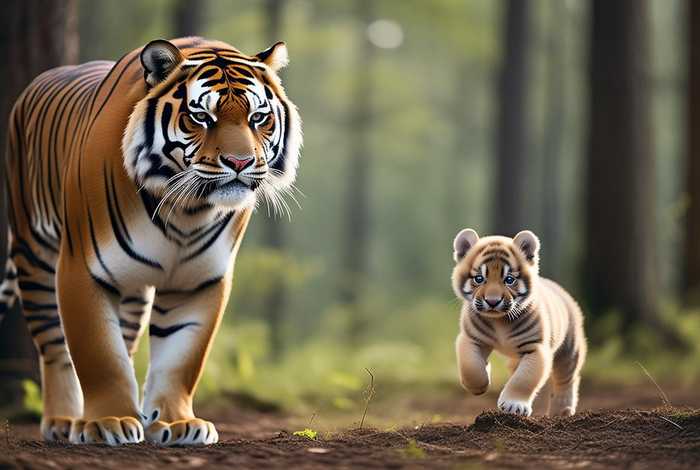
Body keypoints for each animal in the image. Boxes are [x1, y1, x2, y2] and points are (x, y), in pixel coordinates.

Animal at [0, 37, 301, 446]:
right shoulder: (81, 269)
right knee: (54, 346)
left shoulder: (199, 280)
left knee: (125, 341)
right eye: (201, 117)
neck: (188, 210)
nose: (240, 162)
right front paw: (107, 422)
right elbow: (99, 354)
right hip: (34, 255)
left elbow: (181, 357)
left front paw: (176, 423)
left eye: (257, 118)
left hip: (132, 290)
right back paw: (63, 421)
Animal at [451, 228, 586, 417]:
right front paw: (480, 383)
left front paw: (513, 405)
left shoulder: (535, 348)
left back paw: (562, 410)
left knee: (566, 379)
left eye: (509, 280)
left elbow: (524, 378)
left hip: (569, 350)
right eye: (479, 279)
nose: (492, 301)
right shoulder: (471, 338)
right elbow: (470, 365)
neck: (499, 321)